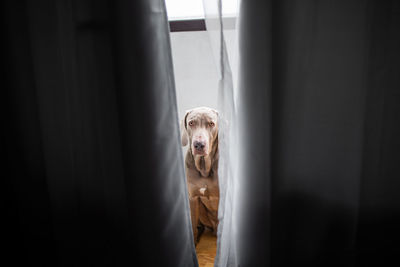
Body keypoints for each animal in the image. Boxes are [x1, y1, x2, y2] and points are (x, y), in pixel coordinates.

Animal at [180, 107, 219, 245]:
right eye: (191, 123)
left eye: (211, 124)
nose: (199, 144)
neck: (204, 168)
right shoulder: (193, 198)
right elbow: (192, 223)